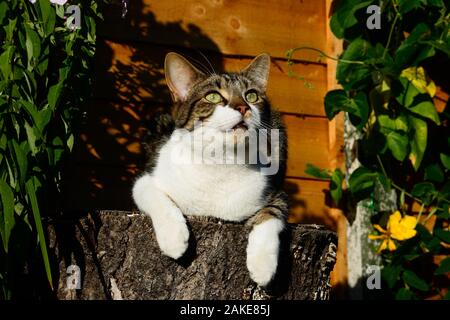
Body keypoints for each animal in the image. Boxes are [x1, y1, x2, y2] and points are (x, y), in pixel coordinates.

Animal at [133, 52, 288, 288]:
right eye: (213, 97)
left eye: (251, 96)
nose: (243, 107)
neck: (220, 162)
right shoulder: (145, 179)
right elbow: (155, 195)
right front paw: (174, 238)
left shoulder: (276, 191)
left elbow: (271, 213)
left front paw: (263, 265)